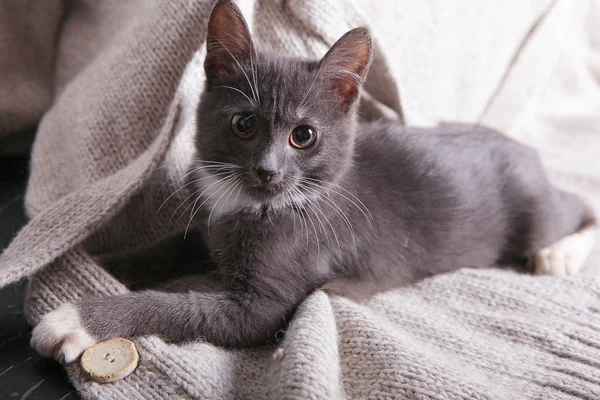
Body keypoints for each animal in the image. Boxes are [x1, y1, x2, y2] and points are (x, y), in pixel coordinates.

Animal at [31, 0, 596, 362]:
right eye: (243, 124)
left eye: (303, 136)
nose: (267, 169)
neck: (250, 205)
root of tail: (522, 148)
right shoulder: (207, 224)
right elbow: (172, 244)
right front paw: (105, 261)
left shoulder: (266, 303)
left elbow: (185, 308)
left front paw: (78, 319)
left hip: (531, 209)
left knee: (573, 206)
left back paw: (560, 252)